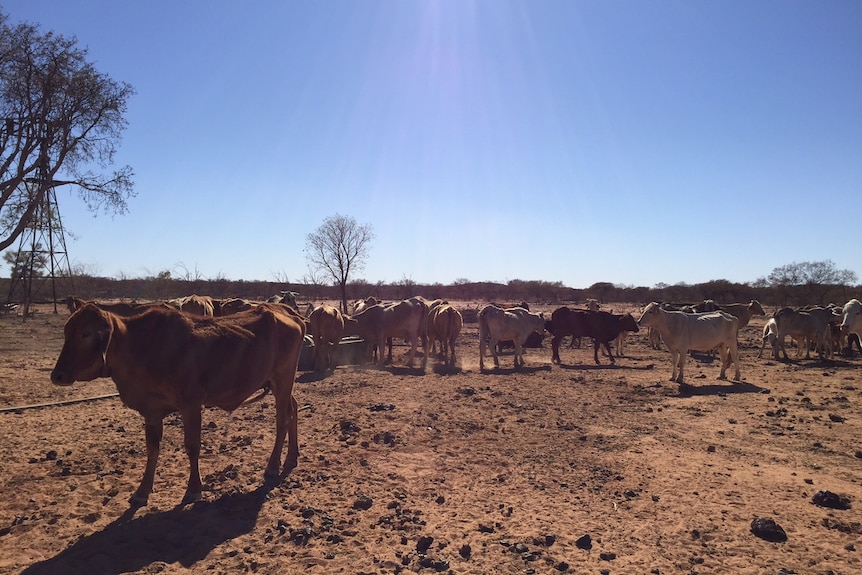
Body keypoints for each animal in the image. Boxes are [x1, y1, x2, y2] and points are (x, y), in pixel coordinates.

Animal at [49, 304, 308, 506]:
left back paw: (272, 466)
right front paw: (142, 491)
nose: (57, 375)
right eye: (67, 332)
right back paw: (292, 456)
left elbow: (192, 446)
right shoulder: (152, 411)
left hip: (282, 380)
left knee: (282, 419)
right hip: (279, 384)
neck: (141, 347)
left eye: (86, 334)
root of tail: (289, 314)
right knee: (293, 409)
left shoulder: (191, 405)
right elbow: (152, 449)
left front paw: (193, 489)